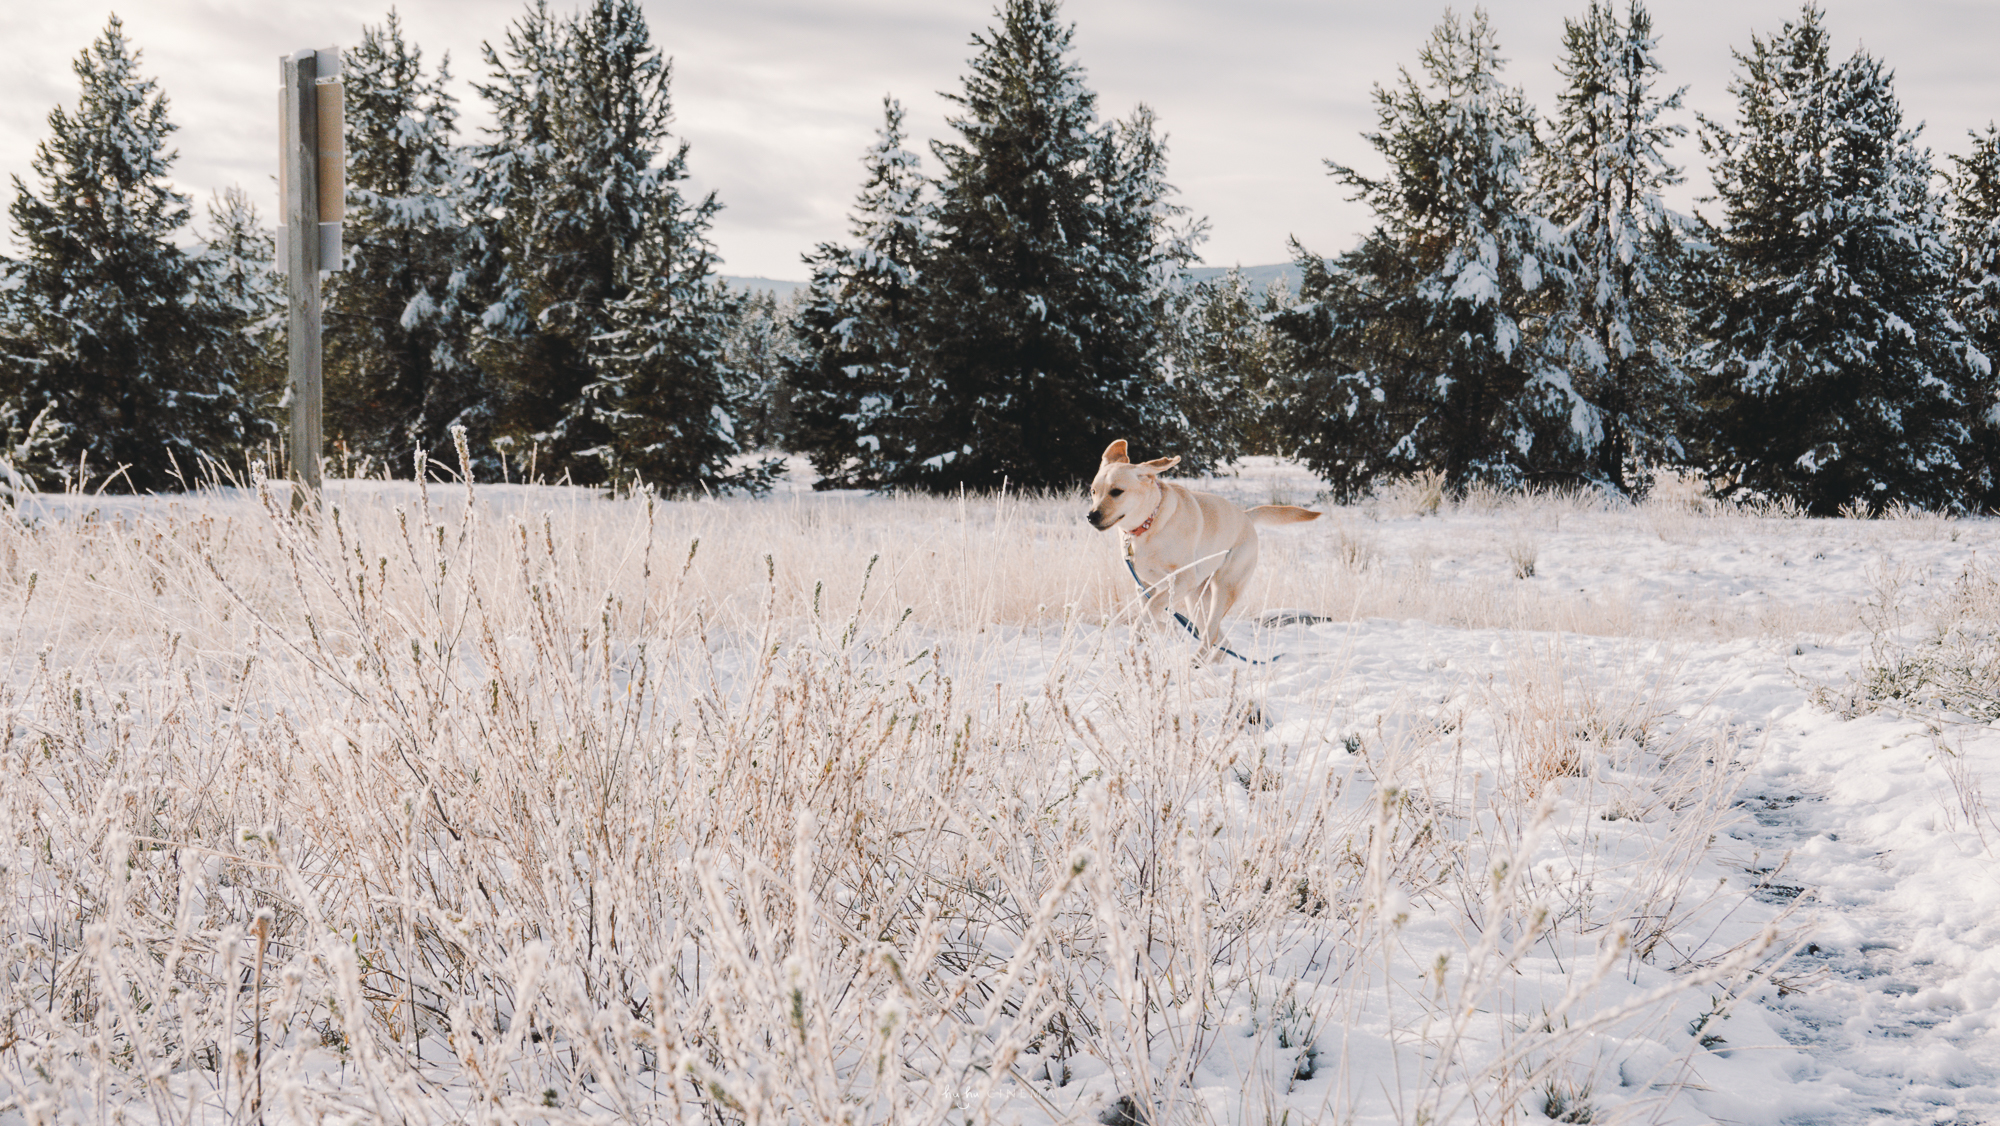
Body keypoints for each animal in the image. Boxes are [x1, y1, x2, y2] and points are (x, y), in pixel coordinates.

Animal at [1088, 436, 1320, 656]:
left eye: (1117, 491)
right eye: (1093, 491)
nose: (1091, 516)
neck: (1149, 524)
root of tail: (1246, 516)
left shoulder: (1182, 579)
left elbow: (1151, 608)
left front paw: (1140, 632)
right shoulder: (1144, 585)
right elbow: (1150, 611)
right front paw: (1161, 630)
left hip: (1224, 587)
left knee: (1211, 633)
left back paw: (1195, 661)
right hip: (1196, 598)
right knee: (1219, 639)